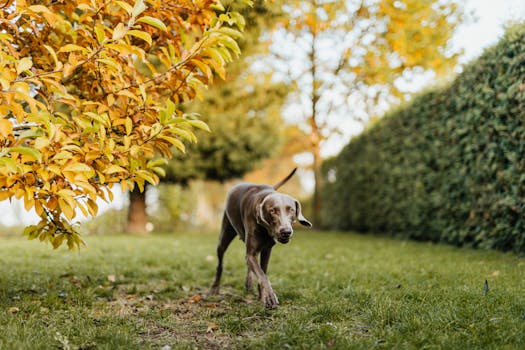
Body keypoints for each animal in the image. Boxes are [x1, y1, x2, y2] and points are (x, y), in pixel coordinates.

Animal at [208, 168, 310, 308]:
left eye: (291, 210)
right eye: (272, 211)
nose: (286, 232)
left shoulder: (267, 250)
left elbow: (263, 272)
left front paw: (262, 297)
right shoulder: (251, 253)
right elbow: (262, 275)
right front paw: (270, 297)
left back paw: (248, 283)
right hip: (224, 236)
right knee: (220, 262)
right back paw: (214, 288)